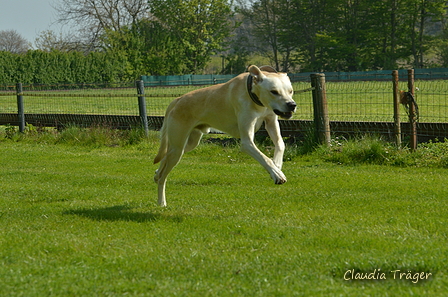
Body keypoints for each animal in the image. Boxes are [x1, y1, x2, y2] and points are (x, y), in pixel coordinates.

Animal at [154, 65, 298, 206]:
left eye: (290, 91)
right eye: (274, 92)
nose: (292, 105)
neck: (253, 96)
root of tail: (177, 100)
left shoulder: (271, 121)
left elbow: (280, 144)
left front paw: (277, 165)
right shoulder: (247, 142)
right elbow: (264, 157)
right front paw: (277, 174)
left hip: (189, 143)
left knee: (165, 157)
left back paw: (156, 174)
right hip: (178, 147)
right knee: (163, 176)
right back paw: (161, 201)